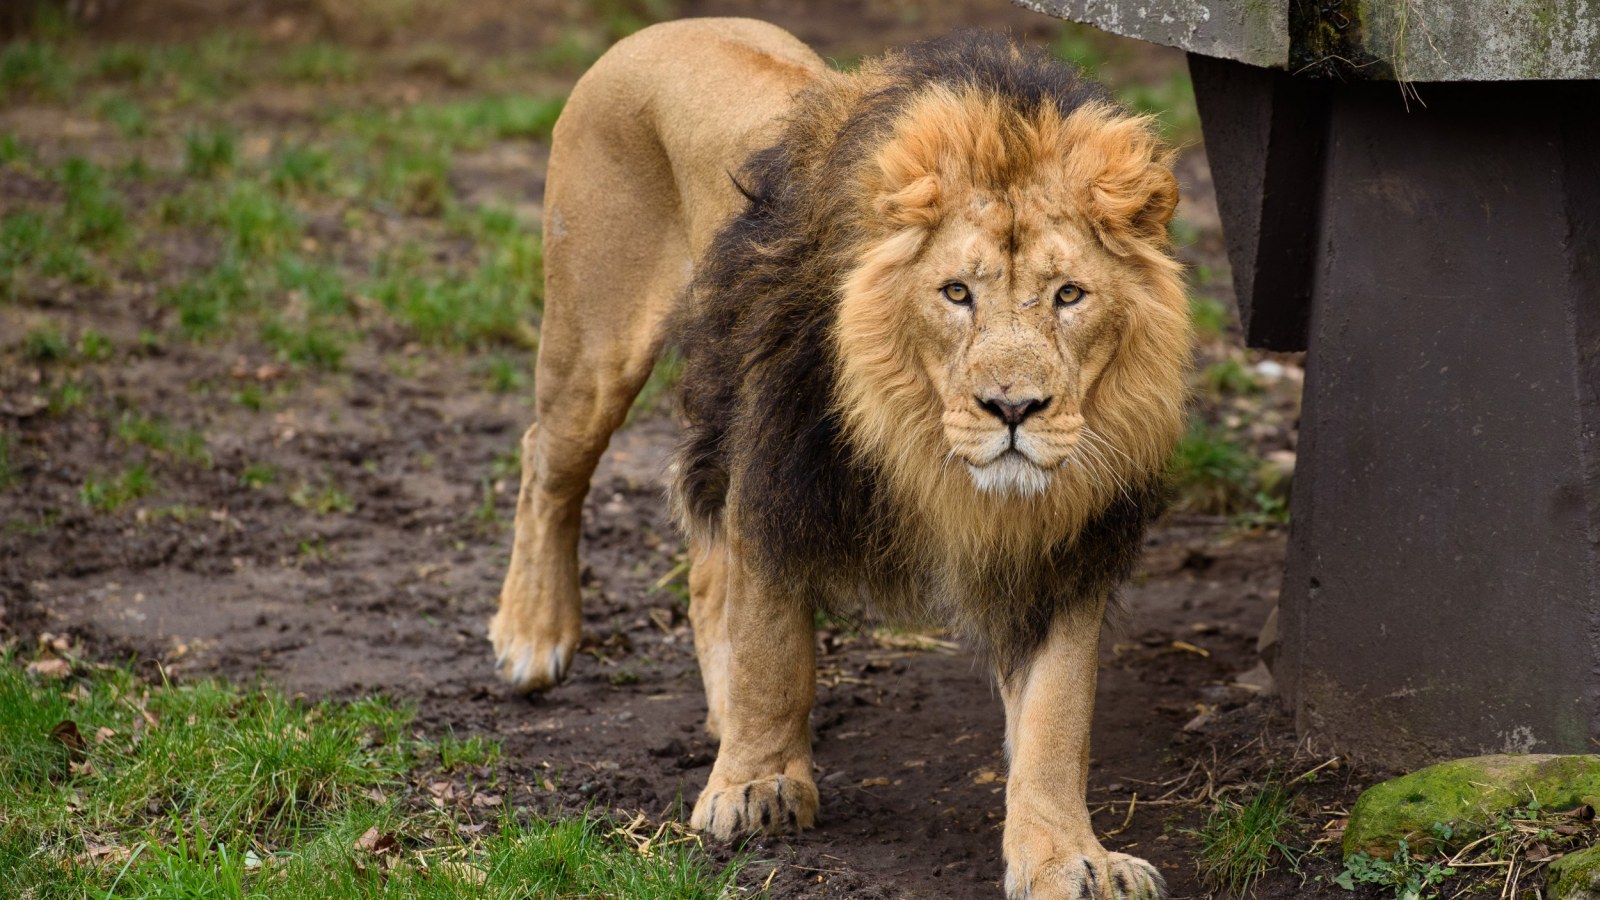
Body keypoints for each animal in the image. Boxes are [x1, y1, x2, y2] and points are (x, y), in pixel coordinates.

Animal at [490, 18, 1189, 899]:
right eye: (956, 293)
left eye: (1070, 295)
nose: (1013, 409)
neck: (923, 446)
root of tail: (666, 26)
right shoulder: (776, 469)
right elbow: (772, 649)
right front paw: (755, 785)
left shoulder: (1063, 551)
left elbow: (1057, 717)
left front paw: (1069, 857)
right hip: (593, 342)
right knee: (546, 463)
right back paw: (532, 636)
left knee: (705, 570)